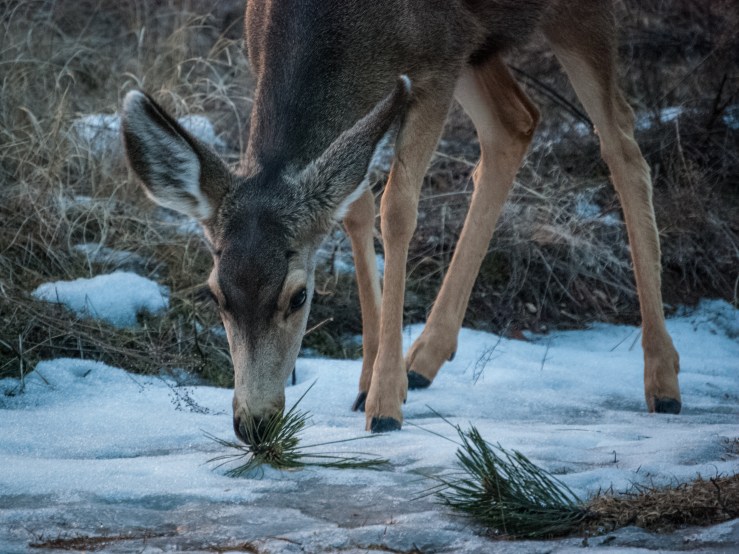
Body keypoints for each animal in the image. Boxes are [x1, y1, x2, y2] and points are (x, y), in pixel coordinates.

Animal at [121, 0, 682, 442]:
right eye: (215, 294)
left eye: (300, 297)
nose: (253, 424)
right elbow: (355, 205)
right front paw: (369, 376)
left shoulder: (439, 62)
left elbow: (397, 207)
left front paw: (385, 402)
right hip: (482, 45)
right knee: (517, 122)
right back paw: (424, 360)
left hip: (569, 17)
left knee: (621, 141)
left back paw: (663, 379)